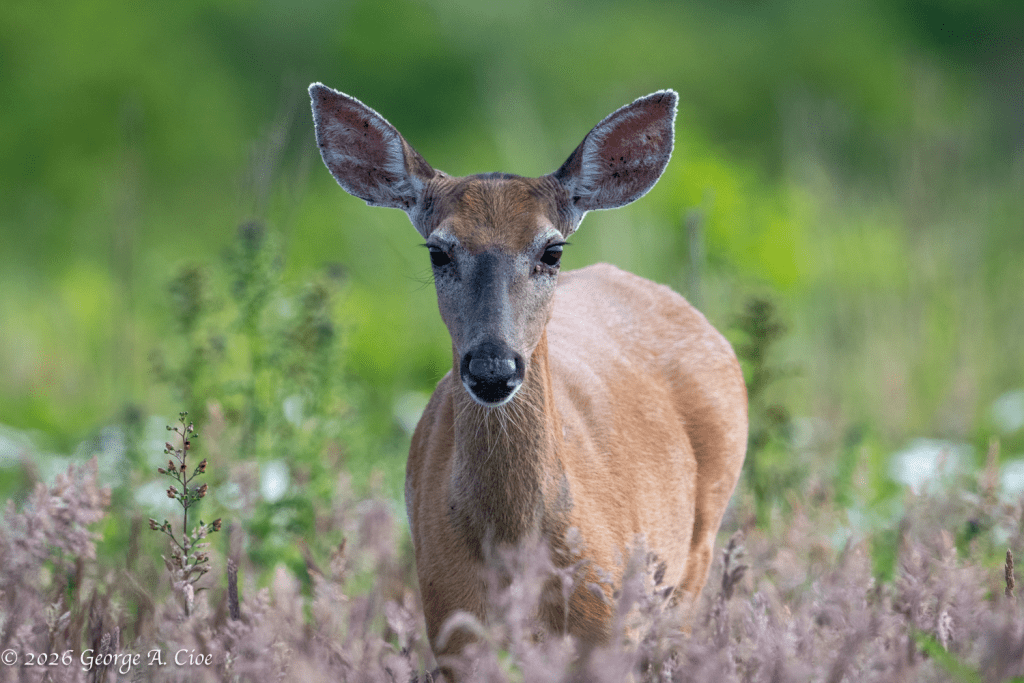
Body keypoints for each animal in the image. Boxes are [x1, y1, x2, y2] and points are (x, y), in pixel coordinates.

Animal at [309, 83, 748, 676]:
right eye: (439, 251)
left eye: (552, 249)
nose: (493, 367)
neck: (515, 547)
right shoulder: (452, 629)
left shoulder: (608, 631)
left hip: (696, 553)